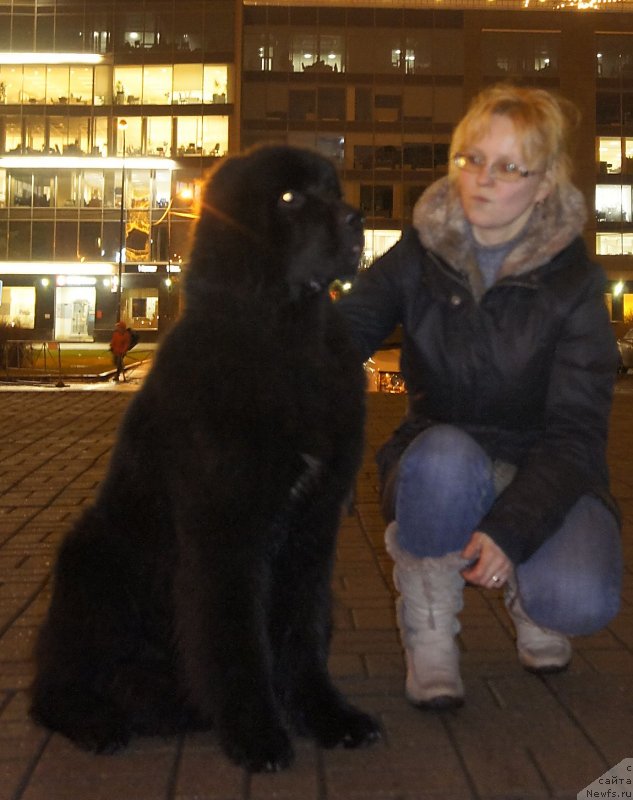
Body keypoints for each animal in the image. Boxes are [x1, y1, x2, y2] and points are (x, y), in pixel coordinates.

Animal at [29, 147, 380, 772]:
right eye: (289, 199)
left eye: (334, 191)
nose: (356, 219)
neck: (288, 337)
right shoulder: (225, 530)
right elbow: (235, 637)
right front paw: (257, 734)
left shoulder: (313, 530)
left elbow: (303, 632)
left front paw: (328, 716)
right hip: (90, 559)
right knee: (55, 681)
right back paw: (95, 722)